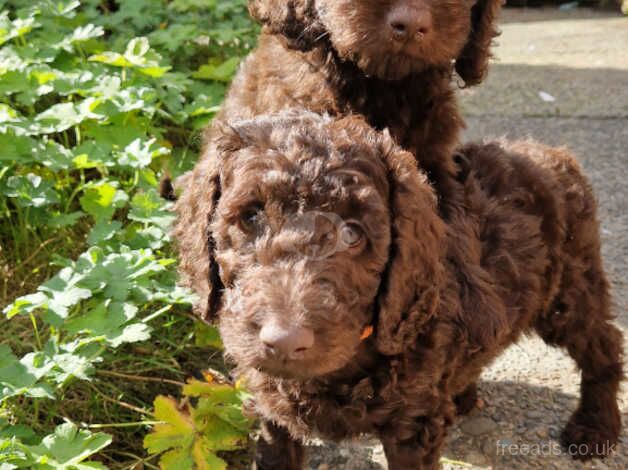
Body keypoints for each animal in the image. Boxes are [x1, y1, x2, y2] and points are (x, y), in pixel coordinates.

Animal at [172, 112, 624, 468]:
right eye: (250, 217)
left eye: (353, 234)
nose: (284, 342)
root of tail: (554, 154)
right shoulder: (273, 414)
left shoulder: (412, 426)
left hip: (572, 288)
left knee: (603, 344)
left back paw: (596, 429)